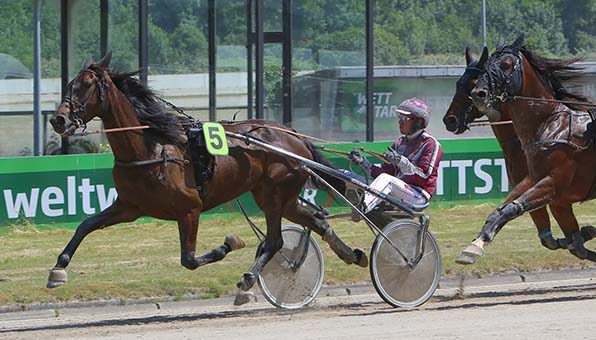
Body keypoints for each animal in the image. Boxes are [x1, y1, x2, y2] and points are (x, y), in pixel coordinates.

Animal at [46, 51, 366, 296]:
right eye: (70, 83)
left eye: (86, 85)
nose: (58, 119)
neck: (150, 149)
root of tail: (293, 135)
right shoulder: (129, 207)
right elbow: (85, 225)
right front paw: (58, 268)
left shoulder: (190, 209)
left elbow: (188, 259)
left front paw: (229, 244)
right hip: (275, 196)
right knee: (316, 222)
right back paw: (352, 254)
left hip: (276, 194)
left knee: (275, 240)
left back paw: (249, 279)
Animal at [458, 33, 596, 262]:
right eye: (488, 66)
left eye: (506, 65)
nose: (479, 93)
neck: (551, 125)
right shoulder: (547, 191)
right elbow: (574, 244)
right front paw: (477, 242)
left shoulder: (553, 184)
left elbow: (513, 208)